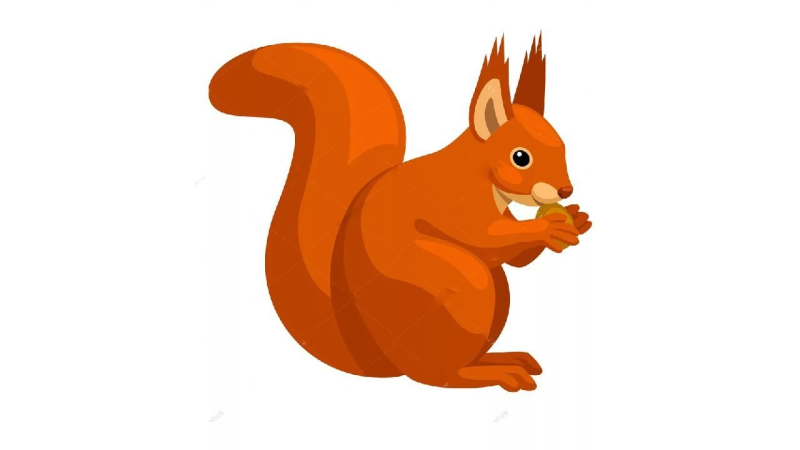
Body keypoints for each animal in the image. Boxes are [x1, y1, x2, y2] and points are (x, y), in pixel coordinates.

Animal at [209, 36, 592, 392]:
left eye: (562, 145)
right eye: (520, 157)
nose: (566, 191)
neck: (479, 174)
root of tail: (378, 355)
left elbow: (516, 260)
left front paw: (576, 219)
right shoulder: (453, 202)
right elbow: (484, 236)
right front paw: (550, 226)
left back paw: (503, 358)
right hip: (467, 290)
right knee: (440, 377)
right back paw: (493, 372)